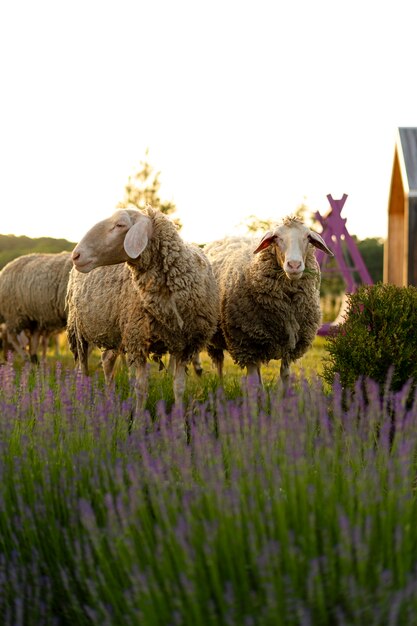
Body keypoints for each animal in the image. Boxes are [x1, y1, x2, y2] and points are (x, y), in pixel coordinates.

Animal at [66, 206, 219, 410]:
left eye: (120, 225)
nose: (76, 255)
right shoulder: (137, 339)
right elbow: (141, 387)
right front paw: (138, 417)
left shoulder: (185, 344)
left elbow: (179, 386)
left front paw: (179, 417)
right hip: (79, 331)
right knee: (82, 370)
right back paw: (81, 403)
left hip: (114, 330)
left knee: (107, 362)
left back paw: (110, 400)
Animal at [204, 217, 332, 388]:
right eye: (276, 237)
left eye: (307, 237)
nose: (294, 265)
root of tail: (223, 238)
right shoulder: (246, 343)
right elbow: (252, 382)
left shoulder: (289, 342)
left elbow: (285, 375)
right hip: (215, 336)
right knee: (219, 363)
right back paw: (220, 388)